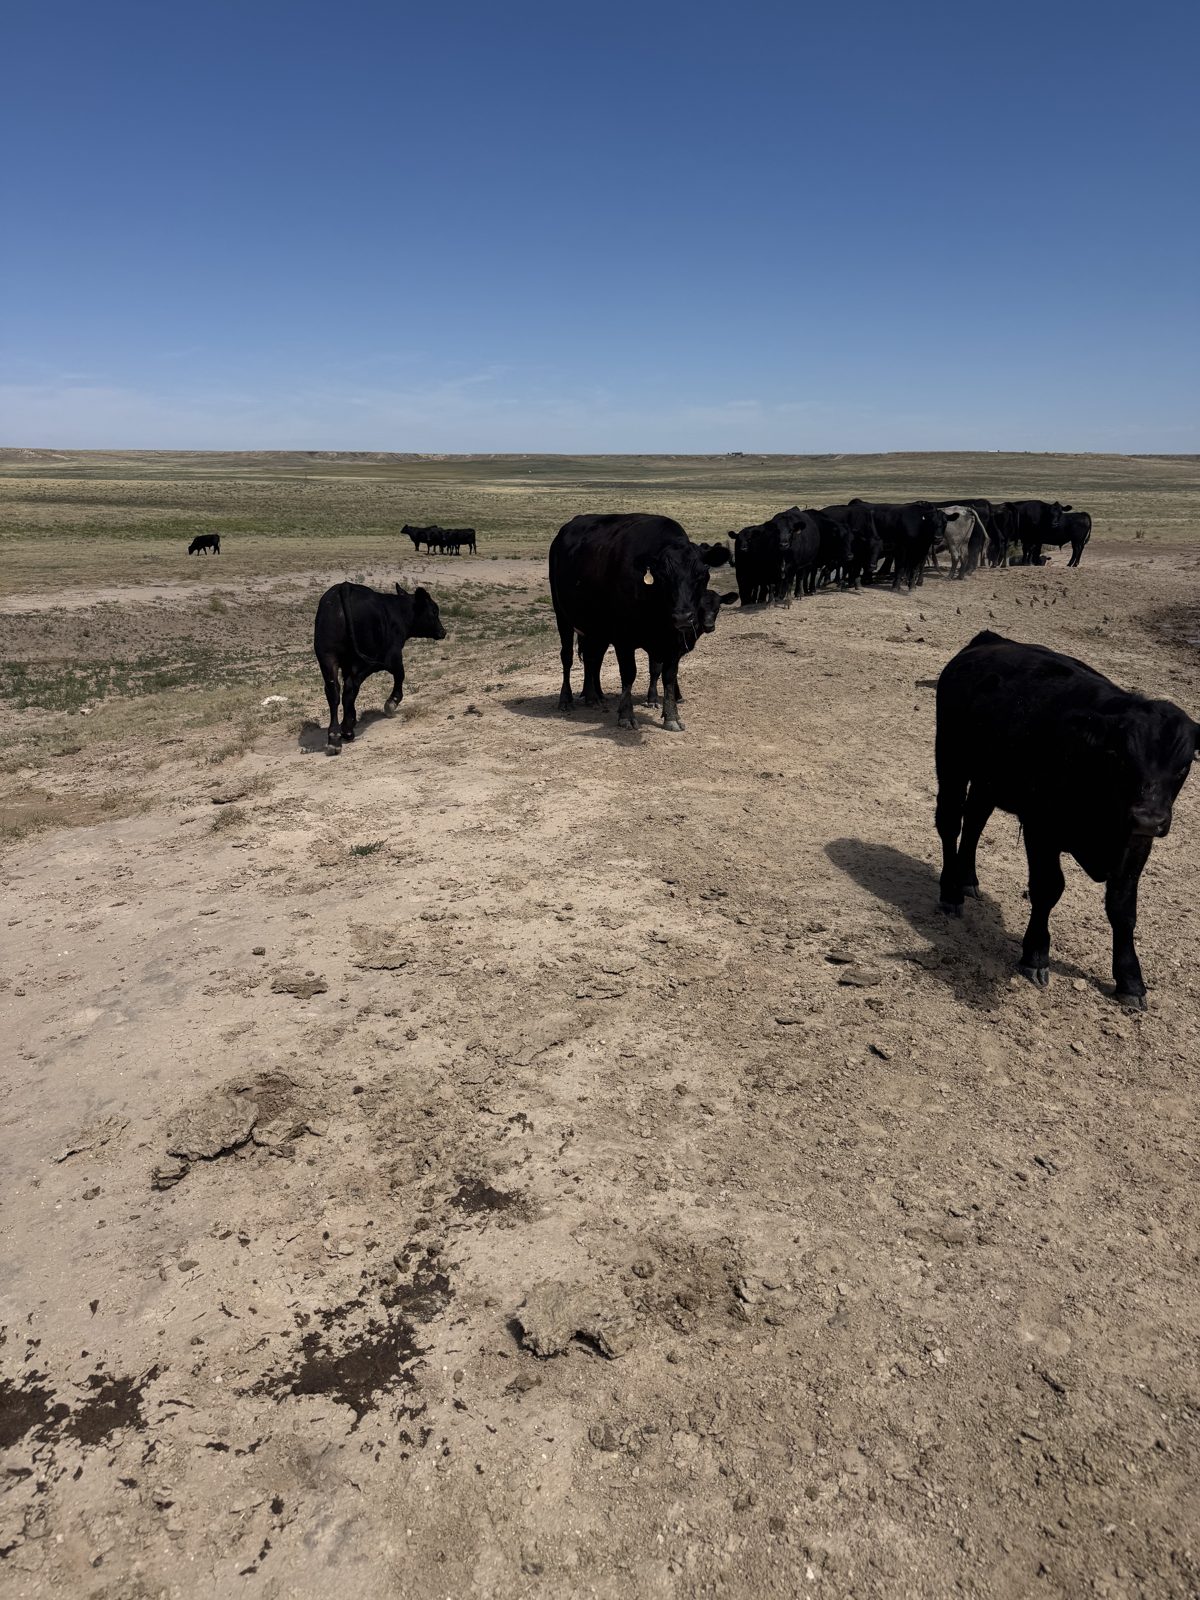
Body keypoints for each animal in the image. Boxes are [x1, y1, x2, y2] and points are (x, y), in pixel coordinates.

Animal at [313, 580, 446, 753]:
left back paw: (335, 737)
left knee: (334, 692)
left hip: (328, 658)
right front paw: (391, 703)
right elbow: (400, 675)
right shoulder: (393, 656)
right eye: (434, 610)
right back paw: (347, 731)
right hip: (363, 660)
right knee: (350, 688)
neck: (398, 611)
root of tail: (344, 586)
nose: (443, 631)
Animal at [550, 513, 732, 733]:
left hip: (594, 629)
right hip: (563, 616)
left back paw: (593, 696)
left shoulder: (674, 642)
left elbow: (668, 676)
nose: (682, 617)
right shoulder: (623, 639)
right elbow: (629, 674)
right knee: (567, 657)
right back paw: (565, 699)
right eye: (662, 576)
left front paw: (672, 716)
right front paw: (626, 716)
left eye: (702, 574)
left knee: (592, 659)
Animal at [935, 630, 1197, 1007]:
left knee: (974, 822)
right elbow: (1048, 888)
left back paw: (968, 879)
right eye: (1120, 756)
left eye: (1184, 764)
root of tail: (989, 640)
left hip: (988, 780)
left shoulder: (1136, 843)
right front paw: (1035, 954)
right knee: (950, 822)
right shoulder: (1040, 828)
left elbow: (1123, 909)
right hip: (952, 761)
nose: (1148, 817)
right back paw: (951, 892)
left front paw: (1130, 980)